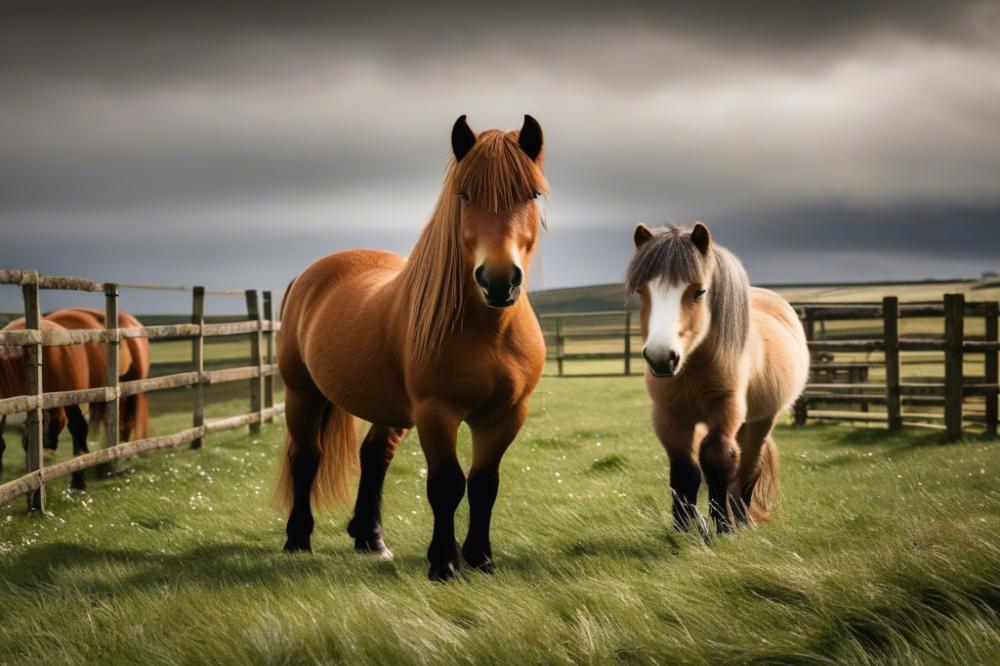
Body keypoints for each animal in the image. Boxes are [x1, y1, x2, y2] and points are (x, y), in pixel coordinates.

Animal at [276, 114, 548, 576]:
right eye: (464, 194)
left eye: (532, 194)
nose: (498, 281)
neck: (487, 331)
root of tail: (309, 275)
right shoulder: (435, 412)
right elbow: (447, 484)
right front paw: (444, 564)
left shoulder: (506, 415)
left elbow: (484, 484)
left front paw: (481, 558)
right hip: (303, 394)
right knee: (306, 457)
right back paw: (298, 538)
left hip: (388, 408)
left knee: (374, 456)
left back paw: (370, 538)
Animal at [628, 223, 808, 536]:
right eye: (641, 291)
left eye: (699, 292)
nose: (661, 357)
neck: (692, 366)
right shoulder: (668, 413)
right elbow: (684, 469)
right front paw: (684, 528)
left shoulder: (726, 407)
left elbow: (717, 459)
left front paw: (724, 526)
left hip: (762, 420)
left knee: (748, 466)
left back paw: (742, 517)